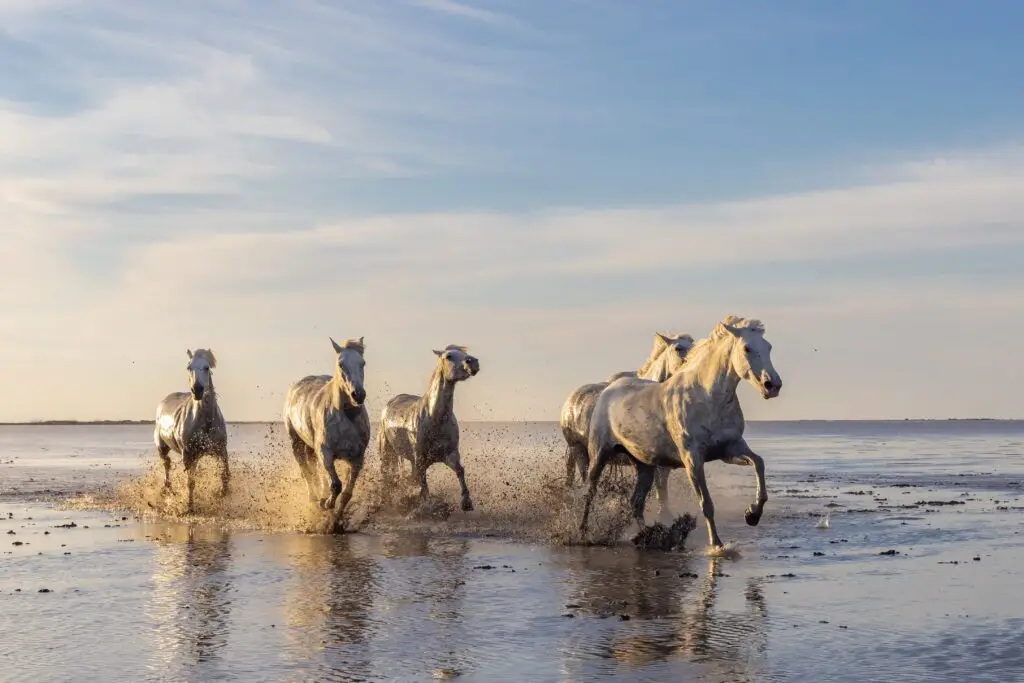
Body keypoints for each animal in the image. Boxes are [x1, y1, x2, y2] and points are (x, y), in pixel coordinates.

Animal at [154, 348, 229, 513]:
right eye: (189, 367)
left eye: (206, 367)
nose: (197, 390)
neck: (206, 422)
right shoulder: (188, 455)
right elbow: (190, 482)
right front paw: (189, 507)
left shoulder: (221, 450)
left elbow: (225, 475)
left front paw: (223, 494)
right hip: (162, 448)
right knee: (167, 466)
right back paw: (168, 490)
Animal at [283, 337, 370, 523]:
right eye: (341, 364)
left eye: (363, 363)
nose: (358, 395)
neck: (346, 418)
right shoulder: (326, 453)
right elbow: (336, 485)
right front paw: (325, 504)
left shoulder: (357, 458)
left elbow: (347, 493)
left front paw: (336, 520)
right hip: (296, 442)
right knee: (306, 471)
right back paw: (315, 499)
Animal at [378, 345, 480, 512]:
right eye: (448, 356)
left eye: (464, 353)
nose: (473, 362)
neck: (434, 420)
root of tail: (389, 404)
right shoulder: (420, 459)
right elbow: (423, 484)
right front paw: (428, 506)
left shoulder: (450, 454)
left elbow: (460, 470)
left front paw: (466, 502)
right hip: (386, 452)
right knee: (385, 475)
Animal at [580, 315, 782, 549]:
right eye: (747, 348)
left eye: (769, 347)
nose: (772, 385)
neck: (706, 397)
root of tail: (609, 389)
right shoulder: (693, 459)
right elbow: (706, 503)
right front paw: (716, 545)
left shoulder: (729, 449)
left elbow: (759, 463)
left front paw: (752, 514)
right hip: (600, 454)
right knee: (589, 492)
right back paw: (583, 533)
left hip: (644, 465)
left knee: (636, 502)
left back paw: (649, 537)